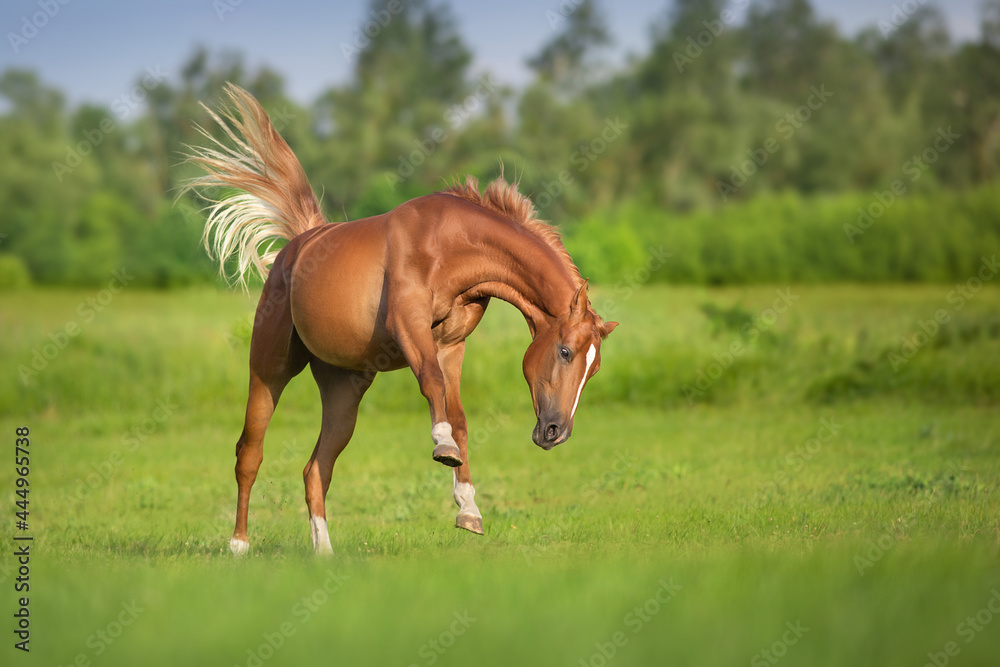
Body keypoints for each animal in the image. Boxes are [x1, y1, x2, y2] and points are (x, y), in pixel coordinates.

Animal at [184, 85, 612, 560]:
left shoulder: (450, 345)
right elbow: (432, 386)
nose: (556, 432)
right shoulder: (410, 325)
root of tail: (299, 244)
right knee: (250, 453)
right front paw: (443, 447)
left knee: (316, 468)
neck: (450, 244)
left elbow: (458, 415)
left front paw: (468, 508)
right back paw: (239, 544)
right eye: (565, 351)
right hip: (269, 370)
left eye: (593, 369)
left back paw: (323, 552)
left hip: (343, 390)